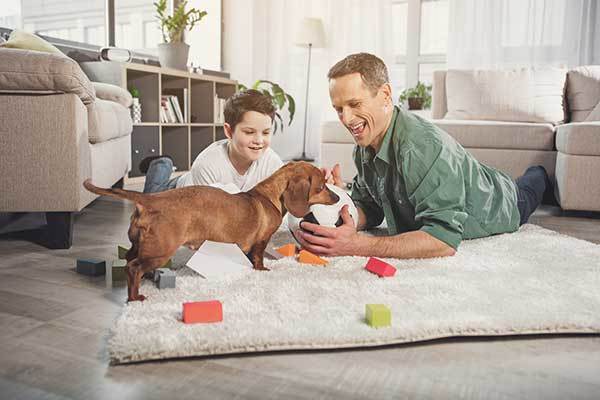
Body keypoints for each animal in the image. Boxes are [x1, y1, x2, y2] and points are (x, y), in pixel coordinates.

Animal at [83, 161, 342, 302]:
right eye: (321, 186)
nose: (338, 197)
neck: (269, 196)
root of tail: (149, 200)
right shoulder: (261, 240)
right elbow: (258, 257)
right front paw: (262, 270)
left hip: (138, 245)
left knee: (129, 261)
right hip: (161, 250)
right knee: (133, 267)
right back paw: (135, 297)